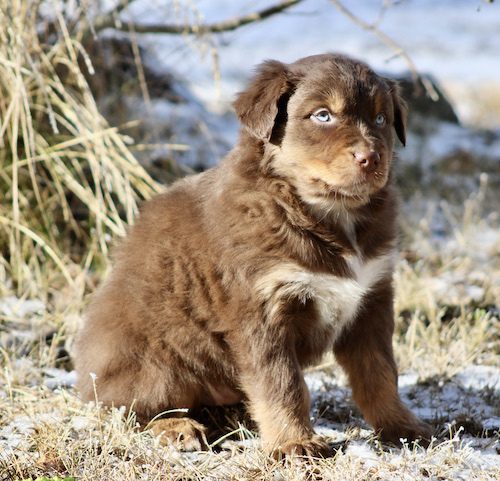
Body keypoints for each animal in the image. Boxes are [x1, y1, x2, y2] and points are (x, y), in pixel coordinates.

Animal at [75, 53, 432, 457]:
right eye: (323, 115)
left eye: (381, 119)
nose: (370, 157)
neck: (329, 213)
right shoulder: (261, 309)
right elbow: (282, 383)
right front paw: (296, 443)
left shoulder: (372, 299)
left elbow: (381, 373)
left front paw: (402, 428)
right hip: (156, 360)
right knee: (136, 408)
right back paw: (178, 428)